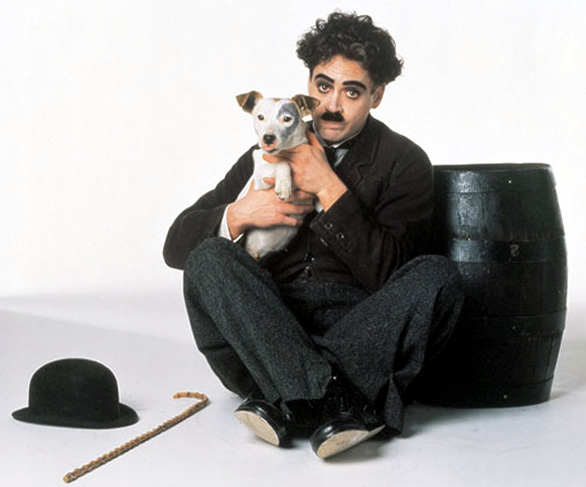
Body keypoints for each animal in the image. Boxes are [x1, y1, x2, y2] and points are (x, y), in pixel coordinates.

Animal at [235, 91, 320, 259]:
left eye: (287, 119)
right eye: (260, 117)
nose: (268, 138)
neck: (287, 151)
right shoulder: (259, 180)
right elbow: (282, 163)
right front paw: (284, 185)